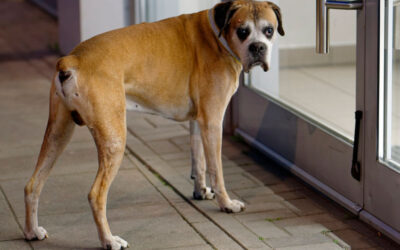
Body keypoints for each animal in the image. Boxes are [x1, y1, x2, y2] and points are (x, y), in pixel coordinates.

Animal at [23, 0, 284, 249]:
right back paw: (109, 240)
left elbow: (199, 160)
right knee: (96, 195)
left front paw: (200, 191)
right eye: (243, 31)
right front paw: (226, 203)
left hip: (58, 133)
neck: (217, 36)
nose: (258, 47)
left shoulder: (199, 122)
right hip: (114, 142)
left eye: (269, 30)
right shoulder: (213, 122)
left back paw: (31, 231)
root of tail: (73, 58)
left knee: (33, 184)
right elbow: (216, 170)